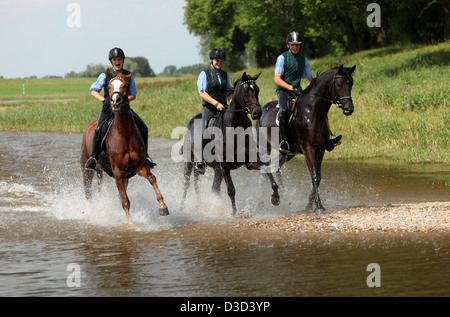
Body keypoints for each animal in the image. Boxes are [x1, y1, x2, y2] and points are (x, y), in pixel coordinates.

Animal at [79, 68, 169, 218]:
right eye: (109, 87)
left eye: (125, 86)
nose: (115, 101)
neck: (124, 135)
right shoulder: (118, 172)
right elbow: (125, 201)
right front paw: (130, 222)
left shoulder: (139, 166)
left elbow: (152, 178)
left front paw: (163, 206)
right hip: (87, 170)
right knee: (88, 192)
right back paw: (91, 213)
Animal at [179, 71, 264, 215]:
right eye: (245, 91)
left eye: (257, 89)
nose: (257, 112)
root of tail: (191, 121)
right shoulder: (224, 165)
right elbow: (231, 189)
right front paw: (234, 213)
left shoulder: (249, 161)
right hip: (189, 161)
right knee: (186, 183)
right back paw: (182, 208)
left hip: (216, 169)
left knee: (213, 188)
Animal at [256, 64, 356, 214]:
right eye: (339, 84)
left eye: (351, 84)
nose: (349, 109)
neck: (312, 112)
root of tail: (262, 109)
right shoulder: (308, 148)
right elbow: (314, 176)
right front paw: (319, 207)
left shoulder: (320, 149)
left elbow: (318, 177)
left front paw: (310, 204)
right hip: (265, 147)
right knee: (264, 168)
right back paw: (268, 200)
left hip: (288, 153)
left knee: (273, 167)